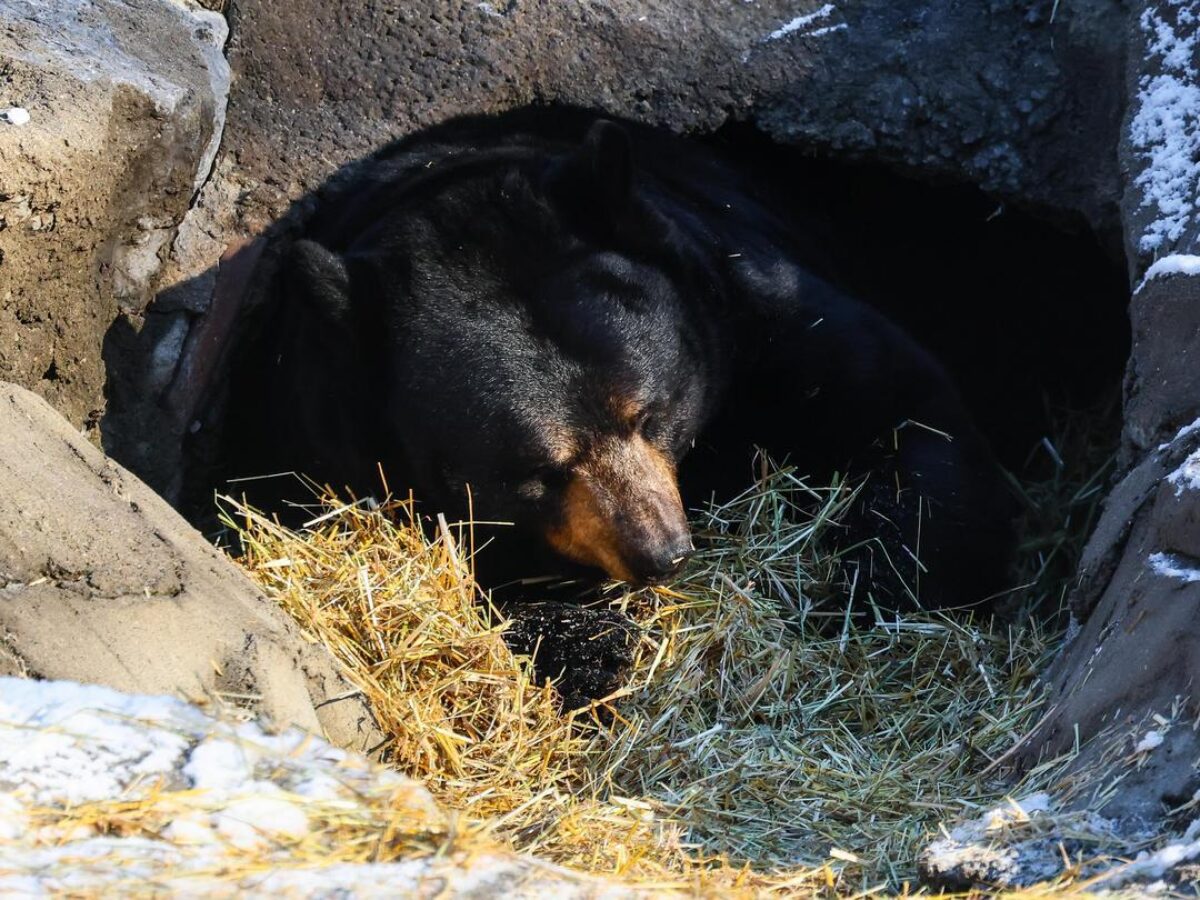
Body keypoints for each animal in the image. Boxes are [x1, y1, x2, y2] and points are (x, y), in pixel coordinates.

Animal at [218, 106, 1015, 707]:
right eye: (534, 473)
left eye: (650, 413)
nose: (661, 552)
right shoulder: (318, 438)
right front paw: (593, 653)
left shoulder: (754, 304)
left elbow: (901, 402)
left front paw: (880, 593)